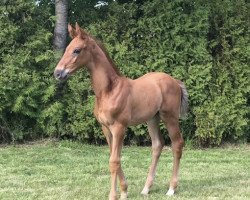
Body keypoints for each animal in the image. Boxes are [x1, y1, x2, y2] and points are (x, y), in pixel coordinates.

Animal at [54, 22, 188, 199]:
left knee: (177, 144)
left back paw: (171, 189)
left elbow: (114, 161)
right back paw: (146, 188)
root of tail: (175, 81)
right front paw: (124, 190)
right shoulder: (105, 128)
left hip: (170, 117)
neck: (108, 91)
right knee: (157, 145)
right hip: (152, 118)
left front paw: (114, 195)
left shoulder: (119, 127)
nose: (57, 73)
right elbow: (113, 156)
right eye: (67, 48)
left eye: (76, 50)